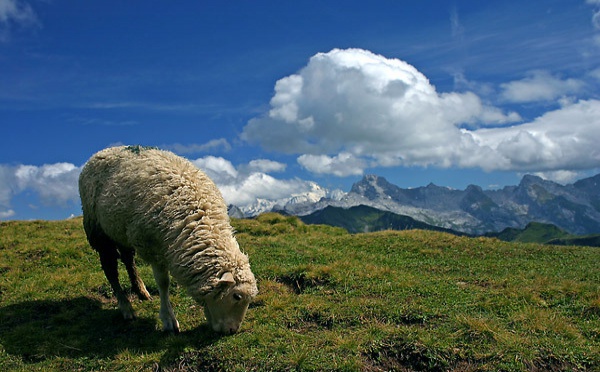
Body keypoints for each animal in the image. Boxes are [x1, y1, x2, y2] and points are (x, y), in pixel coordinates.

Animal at [78, 145, 256, 334]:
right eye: (236, 296)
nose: (232, 331)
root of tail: (101, 151)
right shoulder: (152, 246)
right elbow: (163, 283)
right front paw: (168, 319)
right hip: (98, 230)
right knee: (110, 270)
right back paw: (126, 308)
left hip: (120, 230)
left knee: (128, 260)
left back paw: (141, 290)